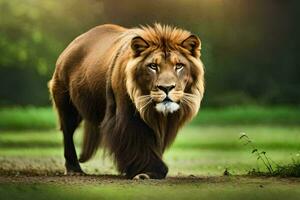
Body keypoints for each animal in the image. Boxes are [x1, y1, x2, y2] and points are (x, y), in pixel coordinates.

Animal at [48, 23, 204, 180]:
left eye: (179, 66)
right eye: (153, 66)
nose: (166, 88)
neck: (152, 111)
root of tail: (71, 46)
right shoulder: (129, 119)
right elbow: (140, 145)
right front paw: (148, 172)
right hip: (66, 104)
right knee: (67, 133)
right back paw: (74, 169)